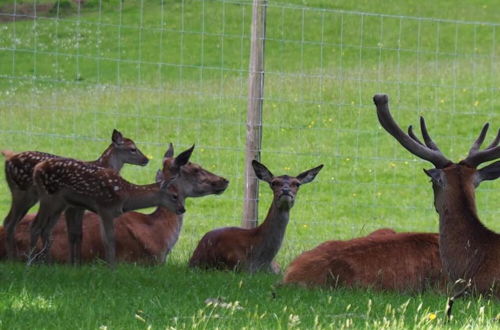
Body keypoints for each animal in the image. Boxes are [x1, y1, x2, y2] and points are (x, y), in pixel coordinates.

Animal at [1, 129, 148, 260]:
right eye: (132, 149)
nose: (146, 160)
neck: (102, 165)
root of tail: (8, 160)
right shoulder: (74, 206)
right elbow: (74, 233)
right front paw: (75, 263)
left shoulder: (76, 206)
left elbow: (77, 233)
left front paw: (75, 263)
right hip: (23, 193)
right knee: (11, 223)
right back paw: (16, 259)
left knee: (12, 222)